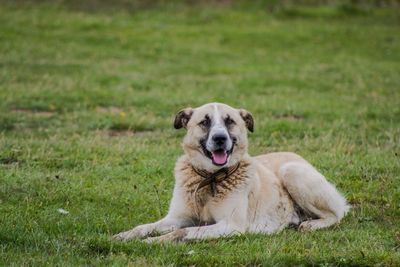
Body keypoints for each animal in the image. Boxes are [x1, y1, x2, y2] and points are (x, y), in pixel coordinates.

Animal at [113, 102, 350, 243]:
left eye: (230, 122)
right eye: (204, 122)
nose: (220, 138)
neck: (210, 178)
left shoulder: (230, 226)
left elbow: (181, 232)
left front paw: (154, 242)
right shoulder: (177, 217)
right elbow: (145, 226)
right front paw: (125, 235)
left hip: (292, 172)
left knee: (336, 215)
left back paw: (311, 224)